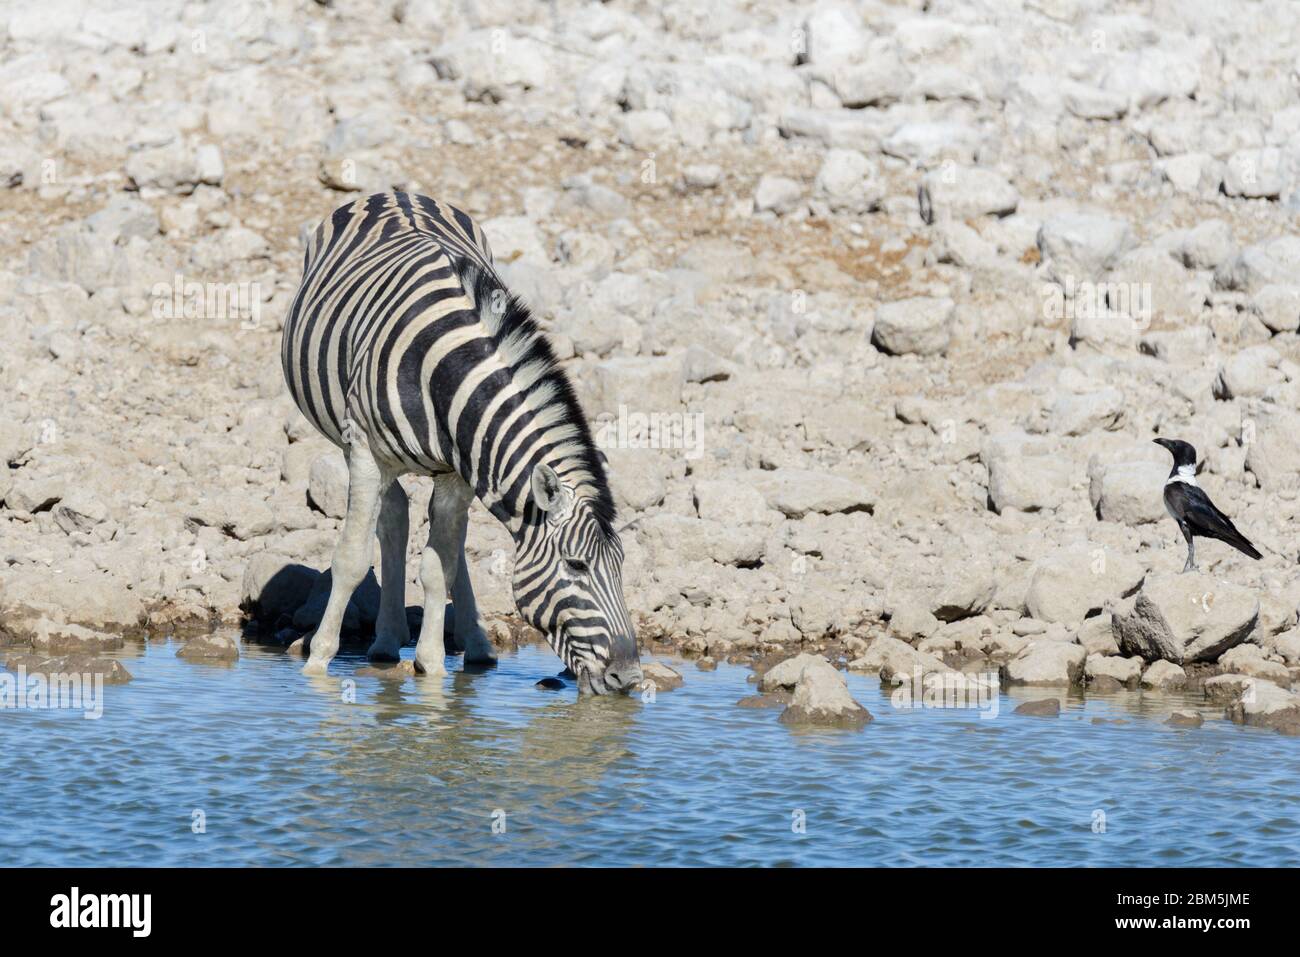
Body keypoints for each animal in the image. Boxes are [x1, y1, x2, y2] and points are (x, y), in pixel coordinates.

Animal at [281, 191, 642, 695]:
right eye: (576, 566)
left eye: (621, 565)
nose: (627, 678)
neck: (445, 372)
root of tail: (397, 192)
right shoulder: (365, 452)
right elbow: (351, 559)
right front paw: (318, 663)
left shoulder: (459, 470)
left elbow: (440, 568)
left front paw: (432, 671)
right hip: (355, 442)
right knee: (392, 514)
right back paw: (386, 641)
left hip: (467, 463)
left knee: (432, 531)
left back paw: (466, 645)